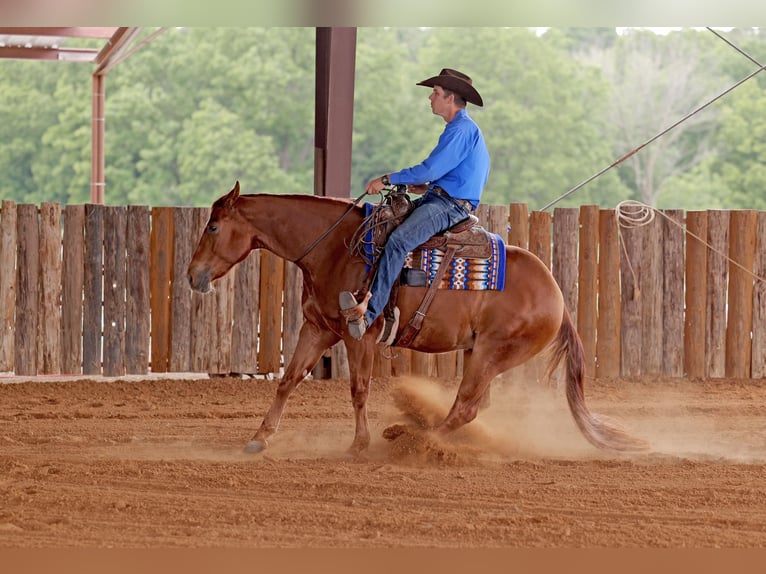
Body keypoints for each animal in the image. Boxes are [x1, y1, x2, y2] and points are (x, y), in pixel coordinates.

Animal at [186, 182, 648, 456]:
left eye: (213, 227)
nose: (192, 276)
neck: (336, 248)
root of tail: (557, 297)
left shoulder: (360, 335)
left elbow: (358, 389)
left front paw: (359, 444)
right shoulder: (318, 329)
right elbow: (288, 379)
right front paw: (260, 437)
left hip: (493, 353)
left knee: (465, 406)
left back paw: (413, 439)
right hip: (480, 353)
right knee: (475, 406)